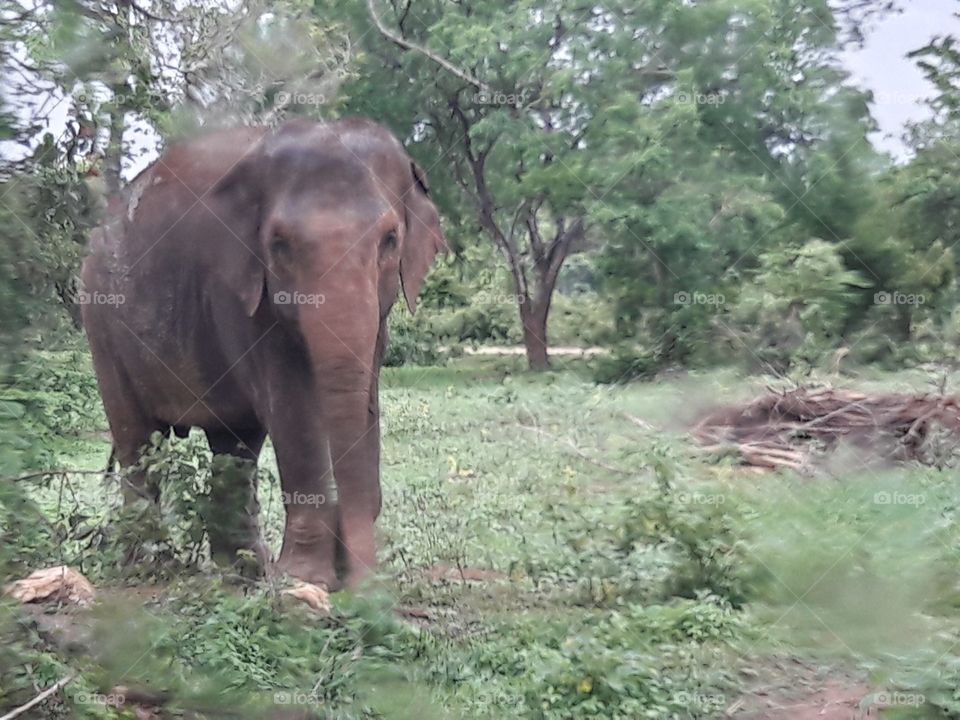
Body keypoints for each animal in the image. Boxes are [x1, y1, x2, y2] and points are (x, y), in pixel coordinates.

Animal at [80, 118, 446, 590]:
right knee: (137, 439)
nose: (363, 585)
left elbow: (365, 393)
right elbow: (292, 410)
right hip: (101, 321)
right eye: (279, 244)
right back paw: (149, 566)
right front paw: (305, 581)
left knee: (234, 445)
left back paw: (242, 571)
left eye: (390, 240)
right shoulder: (237, 290)